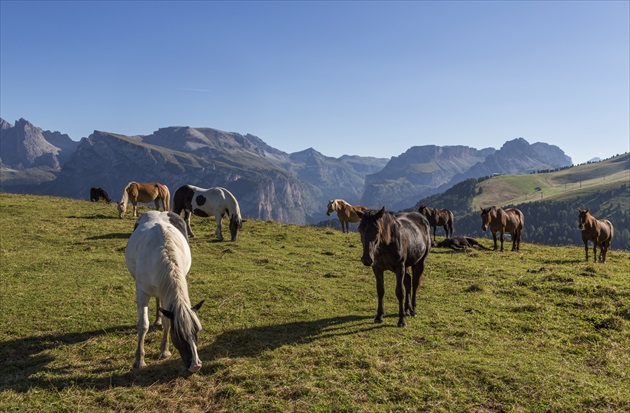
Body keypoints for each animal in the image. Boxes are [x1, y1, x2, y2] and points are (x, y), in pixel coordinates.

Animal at [127, 211, 206, 372]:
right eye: (179, 335)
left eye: (196, 331)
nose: (195, 365)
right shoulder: (142, 292)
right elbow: (143, 325)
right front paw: (139, 360)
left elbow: (167, 321)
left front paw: (164, 350)